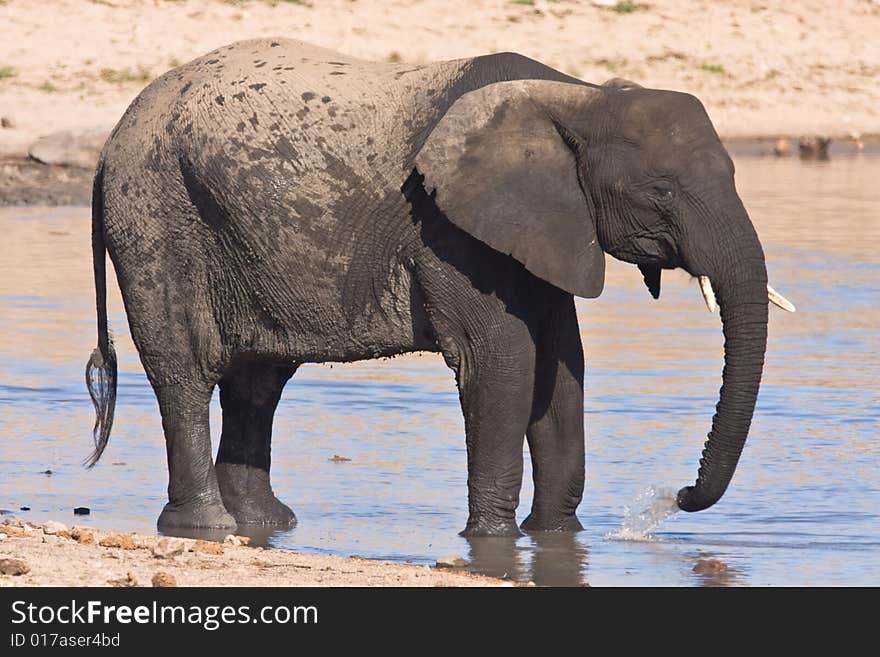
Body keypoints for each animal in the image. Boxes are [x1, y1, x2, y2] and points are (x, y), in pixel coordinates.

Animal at [86, 38, 796, 536]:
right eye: (663, 192)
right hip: (155, 214)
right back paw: (207, 526)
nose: (675, 496)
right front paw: (492, 541)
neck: (578, 97)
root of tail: (110, 138)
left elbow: (562, 363)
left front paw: (557, 536)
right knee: (184, 368)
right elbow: (505, 359)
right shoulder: (446, 226)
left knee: (259, 379)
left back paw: (267, 525)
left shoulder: (544, 225)